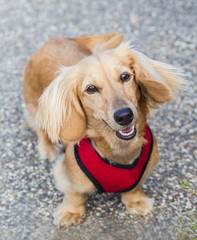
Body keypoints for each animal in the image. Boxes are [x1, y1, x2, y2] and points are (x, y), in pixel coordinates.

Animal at [23, 32, 185, 227]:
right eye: (91, 89)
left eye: (125, 76)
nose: (124, 116)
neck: (119, 151)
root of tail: (56, 40)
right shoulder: (66, 176)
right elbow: (74, 195)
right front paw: (70, 212)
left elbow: (134, 187)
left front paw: (136, 201)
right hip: (34, 107)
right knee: (40, 129)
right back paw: (47, 148)